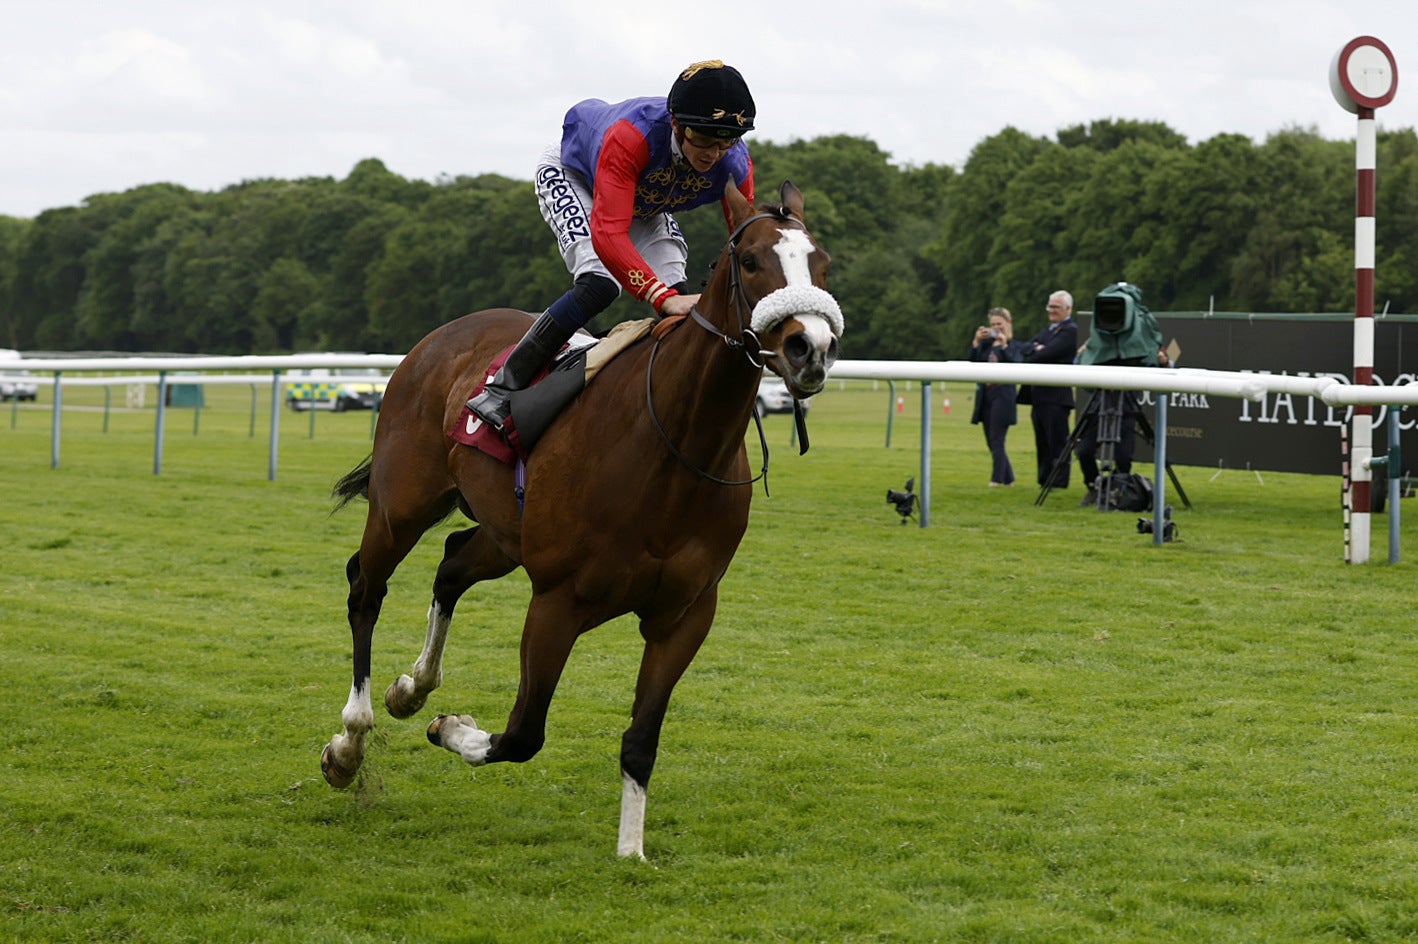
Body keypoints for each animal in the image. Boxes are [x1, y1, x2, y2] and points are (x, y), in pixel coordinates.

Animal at [321, 176, 839, 850]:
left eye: (822, 265)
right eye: (751, 261)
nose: (812, 349)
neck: (675, 446)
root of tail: (440, 338)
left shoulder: (685, 615)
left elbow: (641, 740)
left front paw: (631, 851)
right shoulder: (557, 601)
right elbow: (522, 732)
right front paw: (450, 728)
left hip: (504, 535)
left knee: (451, 564)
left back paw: (412, 687)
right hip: (401, 504)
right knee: (366, 586)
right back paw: (349, 743)